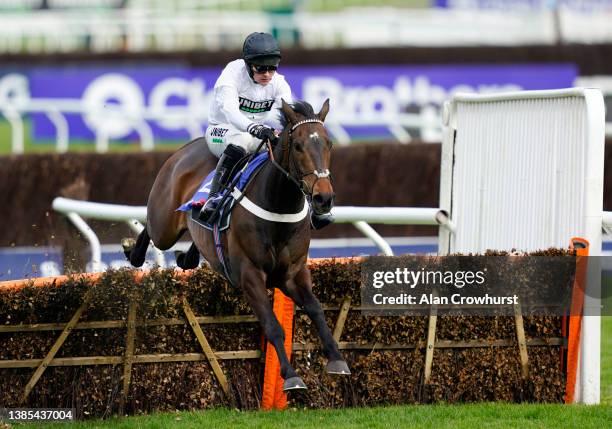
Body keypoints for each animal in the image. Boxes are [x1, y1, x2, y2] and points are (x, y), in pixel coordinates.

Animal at [122, 98, 350, 390]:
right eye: (298, 146)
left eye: (328, 144)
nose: (324, 198)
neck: (278, 208)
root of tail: (186, 148)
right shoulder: (250, 275)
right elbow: (273, 326)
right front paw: (291, 376)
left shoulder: (293, 273)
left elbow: (316, 310)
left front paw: (337, 359)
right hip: (165, 225)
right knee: (150, 229)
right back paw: (133, 249)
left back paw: (187, 254)